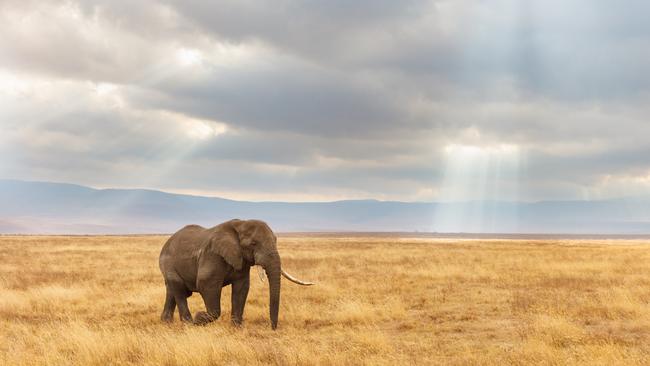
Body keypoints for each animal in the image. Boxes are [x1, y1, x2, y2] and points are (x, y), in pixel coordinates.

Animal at [158, 219, 312, 330]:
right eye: (253, 243)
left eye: (275, 241)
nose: (272, 328)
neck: (241, 224)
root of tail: (167, 241)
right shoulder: (212, 255)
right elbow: (205, 284)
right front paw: (199, 318)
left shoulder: (242, 260)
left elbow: (242, 287)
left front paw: (236, 328)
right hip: (168, 264)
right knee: (179, 290)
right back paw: (188, 324)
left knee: (172, 291)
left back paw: (166, 323)